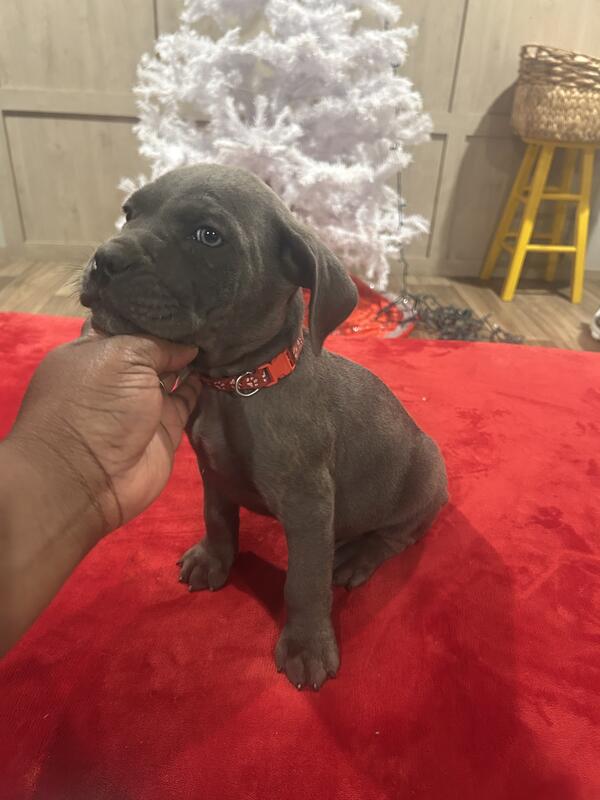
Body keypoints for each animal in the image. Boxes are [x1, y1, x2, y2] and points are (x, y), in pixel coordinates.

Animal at [80, 164, 448, 690]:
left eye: (208, 236)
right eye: (130, 213)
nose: (104, 260)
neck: (237, 386)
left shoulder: (310, 506)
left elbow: (304, 583)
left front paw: (307, 644)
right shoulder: (212, 472)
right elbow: (217, 518)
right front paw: (214, 559)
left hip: (424, 476)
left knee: (399, 535)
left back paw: (359, 556)